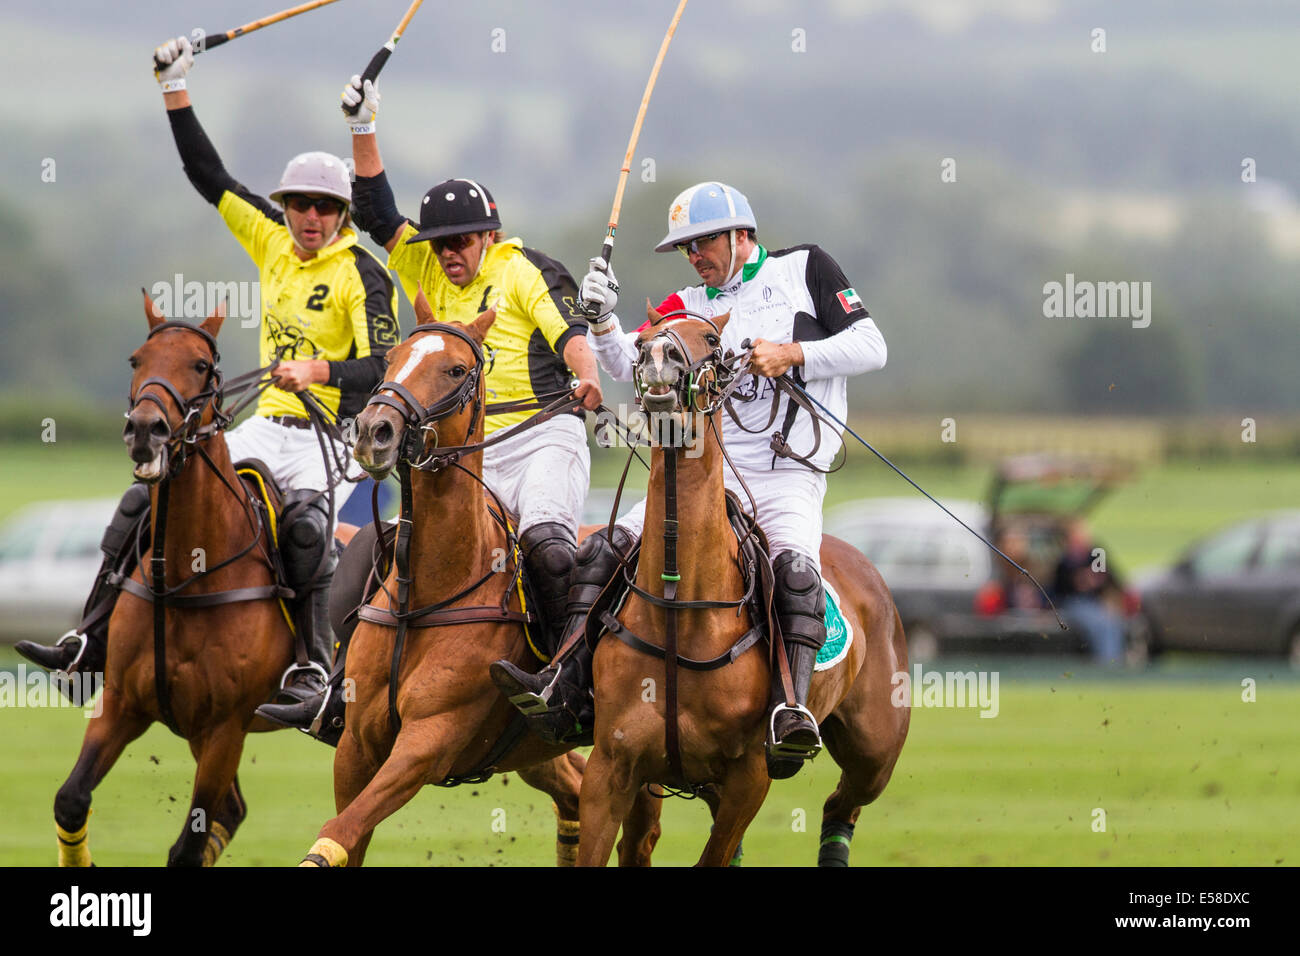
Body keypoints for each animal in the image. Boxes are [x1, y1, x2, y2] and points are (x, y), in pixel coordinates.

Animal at [50, 295, 301, 868]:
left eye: (201, 365)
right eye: (136, 360)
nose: (146, 429)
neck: (186, 578)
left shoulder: (226, 728)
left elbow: (187, 847)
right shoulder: (122, 702)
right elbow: (70, 799)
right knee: (233, 809)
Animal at [295, 299, 660, 868]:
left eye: (456, 370)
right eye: (392, 358)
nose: (374, 431)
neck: (426, 593)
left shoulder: (428, 741)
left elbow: (340, 830)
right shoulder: (355, 747)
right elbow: (347, 835)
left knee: (640, 828)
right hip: (534, 750)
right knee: (575, 795)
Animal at [579, 306, 915, 868]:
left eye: (713, 340)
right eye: (643, 340)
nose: (660, 358)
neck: (680, 605)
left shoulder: (749, 778)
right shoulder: (612, 766)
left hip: (875, 751)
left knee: (843, 802)